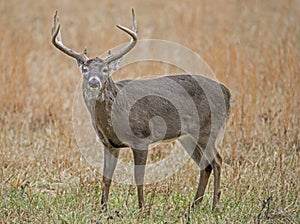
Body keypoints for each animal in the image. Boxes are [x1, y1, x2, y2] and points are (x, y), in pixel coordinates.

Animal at [51, 9, 231, 211]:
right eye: (85, 69)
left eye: (105, 70)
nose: (94, 82)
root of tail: (227, 92)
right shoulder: (109, 144)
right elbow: (106, 177)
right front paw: (103, 209)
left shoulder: (141, 138)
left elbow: (139, 177)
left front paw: (142, 208)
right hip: (187, 136)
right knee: (205, 165)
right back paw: (193, 206)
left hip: (208, 128)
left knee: (217, 161)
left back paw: (214, 205)